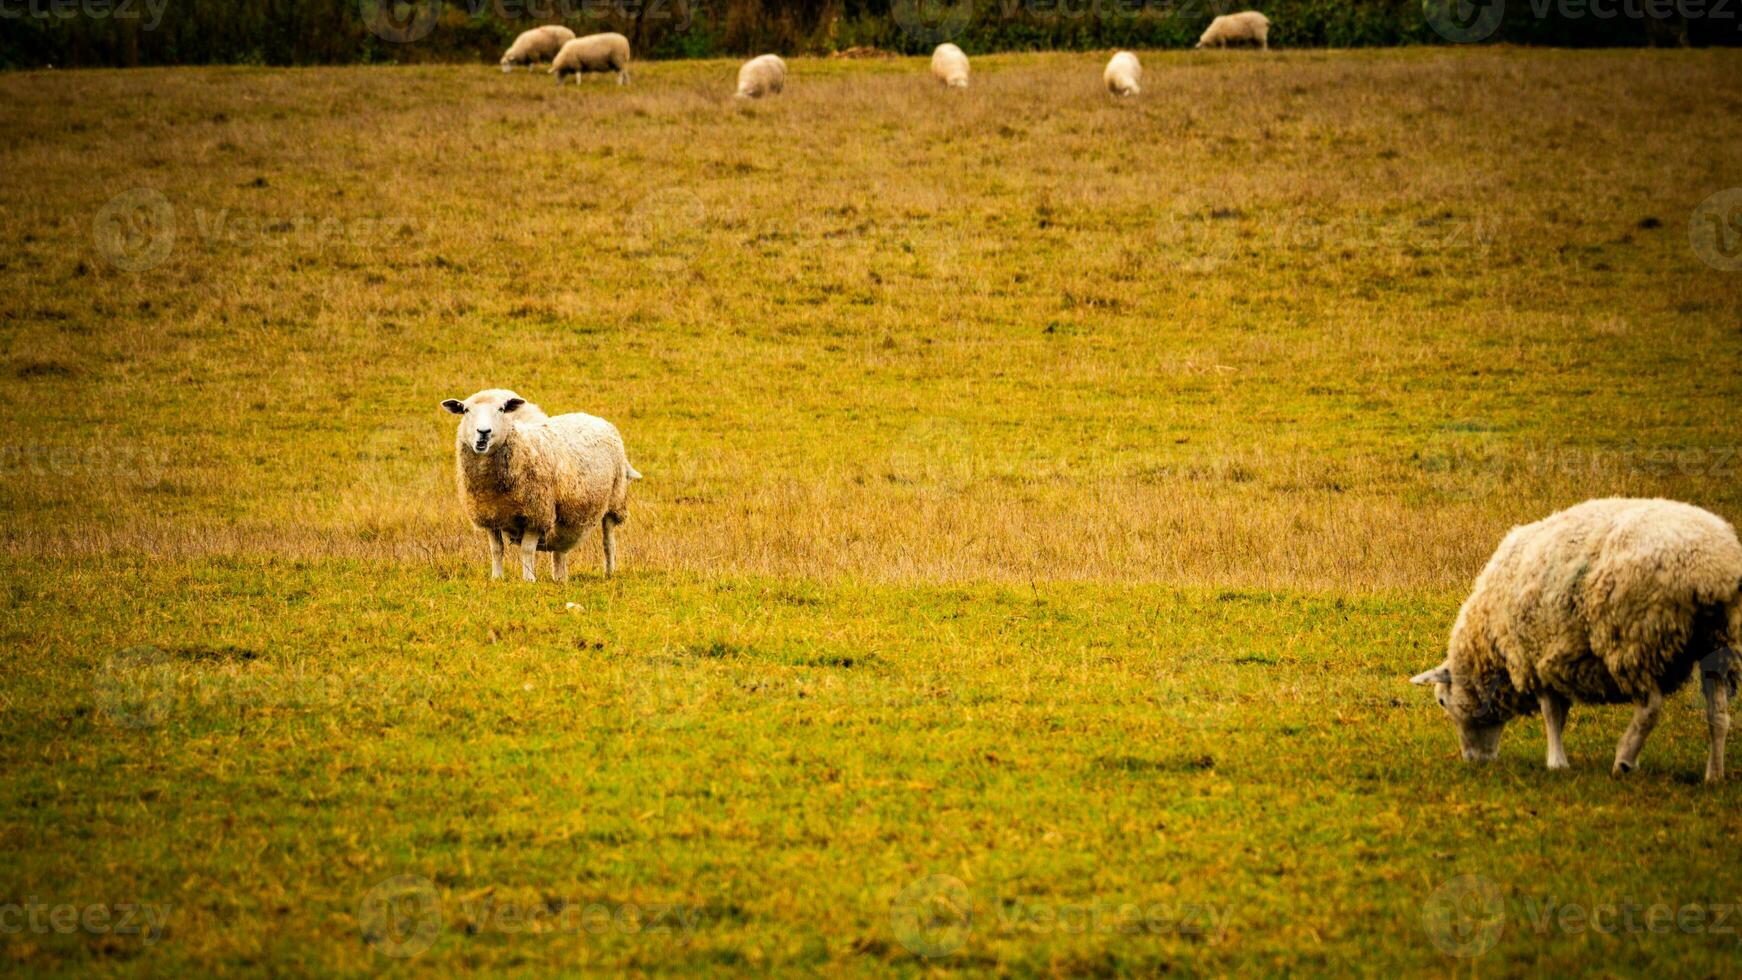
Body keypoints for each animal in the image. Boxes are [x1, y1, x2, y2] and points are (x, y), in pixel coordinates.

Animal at [438, 388, 644, 581]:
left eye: (502, 409)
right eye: (465, 410)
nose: (483, 432)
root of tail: (595, 418)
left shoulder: (536, 514)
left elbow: (527, 550)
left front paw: (528, 579)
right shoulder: (489, 515)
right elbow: (496, 549)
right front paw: (497, 577)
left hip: (614, 501)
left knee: (608, 543)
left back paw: (609, 572)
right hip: (565, 516)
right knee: (560, 548)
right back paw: (560, 578)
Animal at [1414, 497, 1742, 783]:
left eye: (1442, 701)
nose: (1473, 761)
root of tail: (1713, 570)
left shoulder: (1534, 658)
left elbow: (1551, 713)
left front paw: (1556, 762)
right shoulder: (1554, 661)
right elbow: (1560, 714)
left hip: (1634, 637)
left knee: (1650, 707)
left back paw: (1624, 761)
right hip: (1719, 643)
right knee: (1718, 714)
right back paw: (1714, 775)